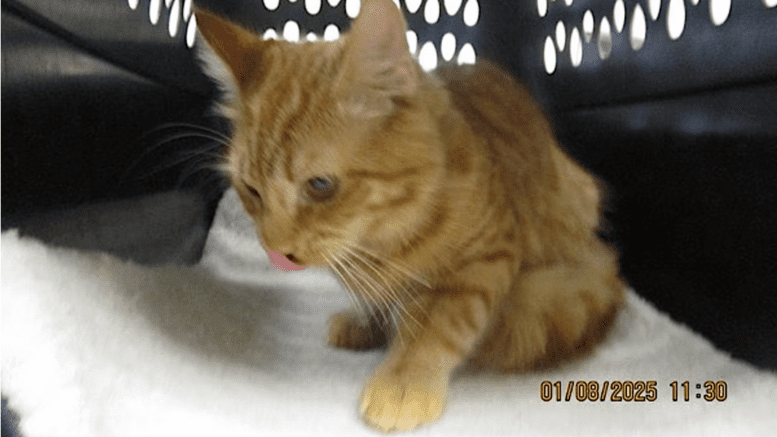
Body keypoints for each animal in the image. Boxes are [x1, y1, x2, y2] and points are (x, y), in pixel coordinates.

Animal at [196, 0, 624, 430]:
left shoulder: (484, 260)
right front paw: (367, 326)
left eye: (320, 185)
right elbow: (379, 306)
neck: (378, 243)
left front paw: (404, 381)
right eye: (251, 189)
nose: (274, 249)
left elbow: (435, 327)